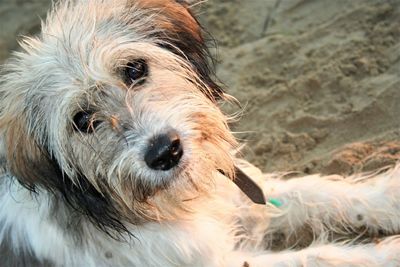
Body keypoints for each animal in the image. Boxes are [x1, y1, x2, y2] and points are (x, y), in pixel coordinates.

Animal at [0, 0, 400, 267]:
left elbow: (316, 191)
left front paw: (390, 199)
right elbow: (321, 257)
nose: (166, 152)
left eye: (134, 69)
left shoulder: (238, 195)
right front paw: (390, 252)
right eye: (82, 120)